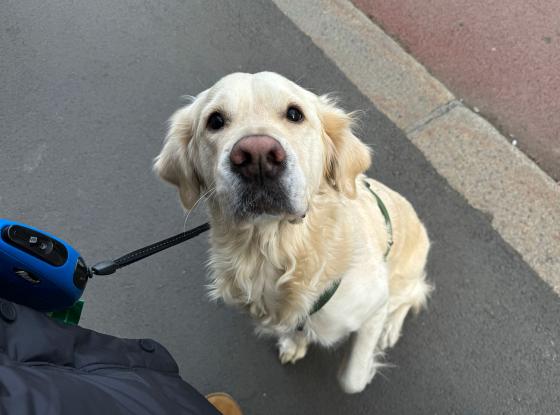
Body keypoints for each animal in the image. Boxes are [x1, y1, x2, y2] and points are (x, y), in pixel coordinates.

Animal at [154, 71, 434, 394]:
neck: (275, 250)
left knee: (412, 295)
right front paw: (295, 342)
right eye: (215, 120)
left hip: (404, 275)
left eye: (294, 114)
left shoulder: (374, 304)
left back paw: (391, 329)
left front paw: (367, 366)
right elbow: (299, 326)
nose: (257, 156)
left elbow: (352, 380)